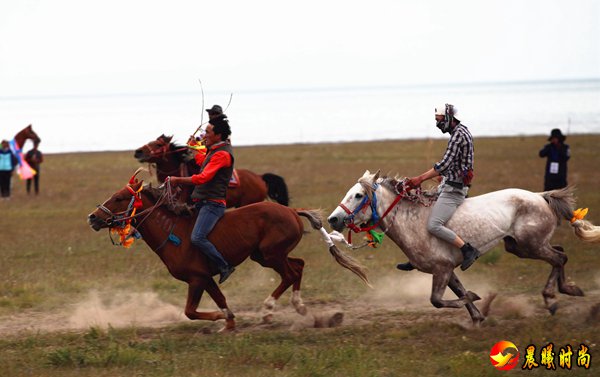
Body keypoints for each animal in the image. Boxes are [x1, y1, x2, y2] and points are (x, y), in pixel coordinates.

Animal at [86, 172, 364, 330]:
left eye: (120, 197)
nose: (93, 217)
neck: (173, 234)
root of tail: (292, 211)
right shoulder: (205, 278)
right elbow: (218, 300)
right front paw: (228, 322)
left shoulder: (197, 279)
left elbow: (190, 311)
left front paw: (221, 319)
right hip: (265, 255)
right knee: (298, 266)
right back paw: (302, 309)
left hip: (271, 254)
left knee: (291, 274)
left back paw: (269, 311)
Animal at [328, 170, 600, 324]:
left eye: (358, 195)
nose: (333, 220)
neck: (411, 221)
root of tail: (540, 196)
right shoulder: (448, 270)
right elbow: (457, 293)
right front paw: (477, 316)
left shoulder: (441, 269)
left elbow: (437, 300)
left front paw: (476, 298)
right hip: (520, 247)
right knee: (560, 253)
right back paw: (568, 290)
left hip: (531, 245)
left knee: (558, 258)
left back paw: (553, 298)